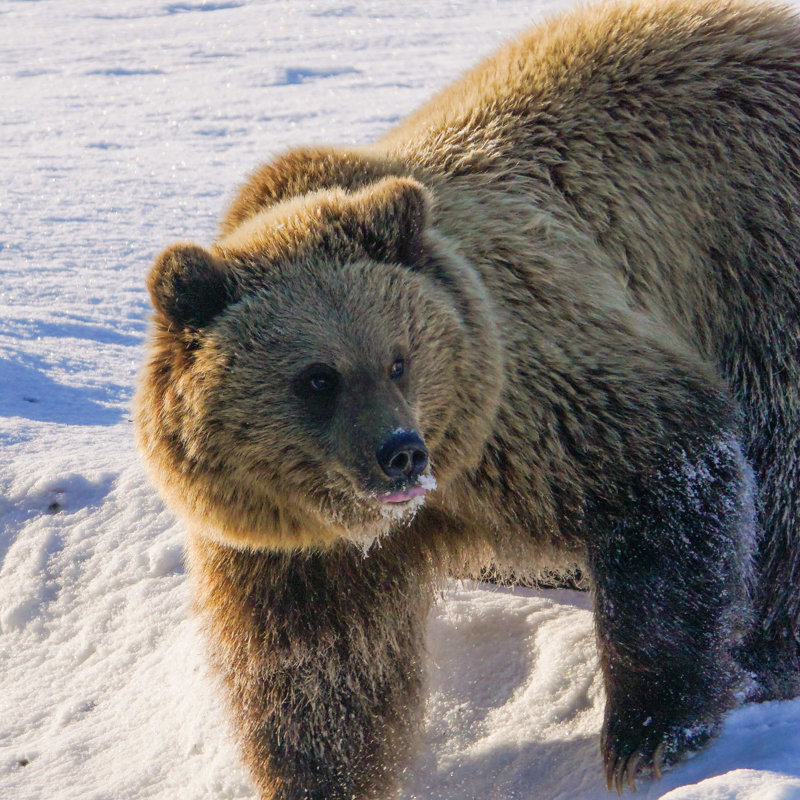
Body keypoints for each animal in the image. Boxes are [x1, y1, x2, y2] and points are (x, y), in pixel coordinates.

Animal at [134, 1, 800, 792]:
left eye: (399, 359)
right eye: (317, 378)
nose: (399, 454)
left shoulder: (541, 400)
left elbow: (669, 479)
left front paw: (647, 733)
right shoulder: (293, 545)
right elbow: (318, 676)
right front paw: (322, 776)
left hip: (757, 258)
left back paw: (768, 654)